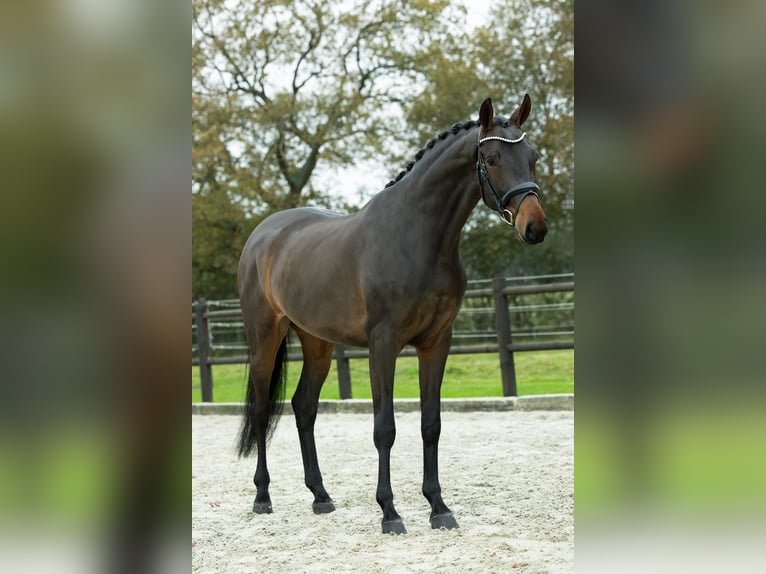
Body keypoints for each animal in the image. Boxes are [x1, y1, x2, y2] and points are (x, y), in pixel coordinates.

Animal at [237, 95, 548, 536]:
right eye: (491, 158)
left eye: (532, 157)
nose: (534, 227)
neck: (416, 236)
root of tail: (264, 234)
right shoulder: (382, 345)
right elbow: (385, 428)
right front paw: (389, 511)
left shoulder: (436, 343)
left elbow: (431, 424)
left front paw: (438, 507)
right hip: (265, 338)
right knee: (263, 410)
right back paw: (262, 496)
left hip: (317, 343)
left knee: (304, 407)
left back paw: (320, 495)